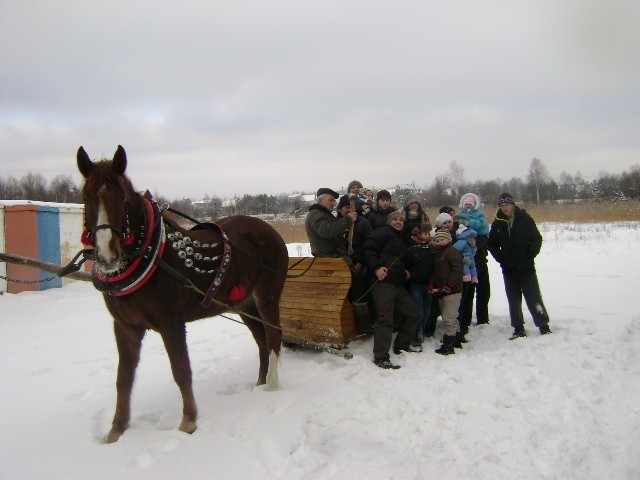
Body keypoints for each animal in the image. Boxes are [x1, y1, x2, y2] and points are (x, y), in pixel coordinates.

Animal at [76, 145, 288, 442]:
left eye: (122, 199)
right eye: (86, 198)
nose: (107, 256)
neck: (152, 256)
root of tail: (270, 230)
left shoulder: (171, 323)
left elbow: (181, 370)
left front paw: (188, 421)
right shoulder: (125, 326)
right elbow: (124, 378)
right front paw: (117, 430)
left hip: (267, 296)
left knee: (272, 336)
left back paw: (272, 386)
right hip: (243, 303)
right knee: (260, 340)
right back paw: (259, 382)